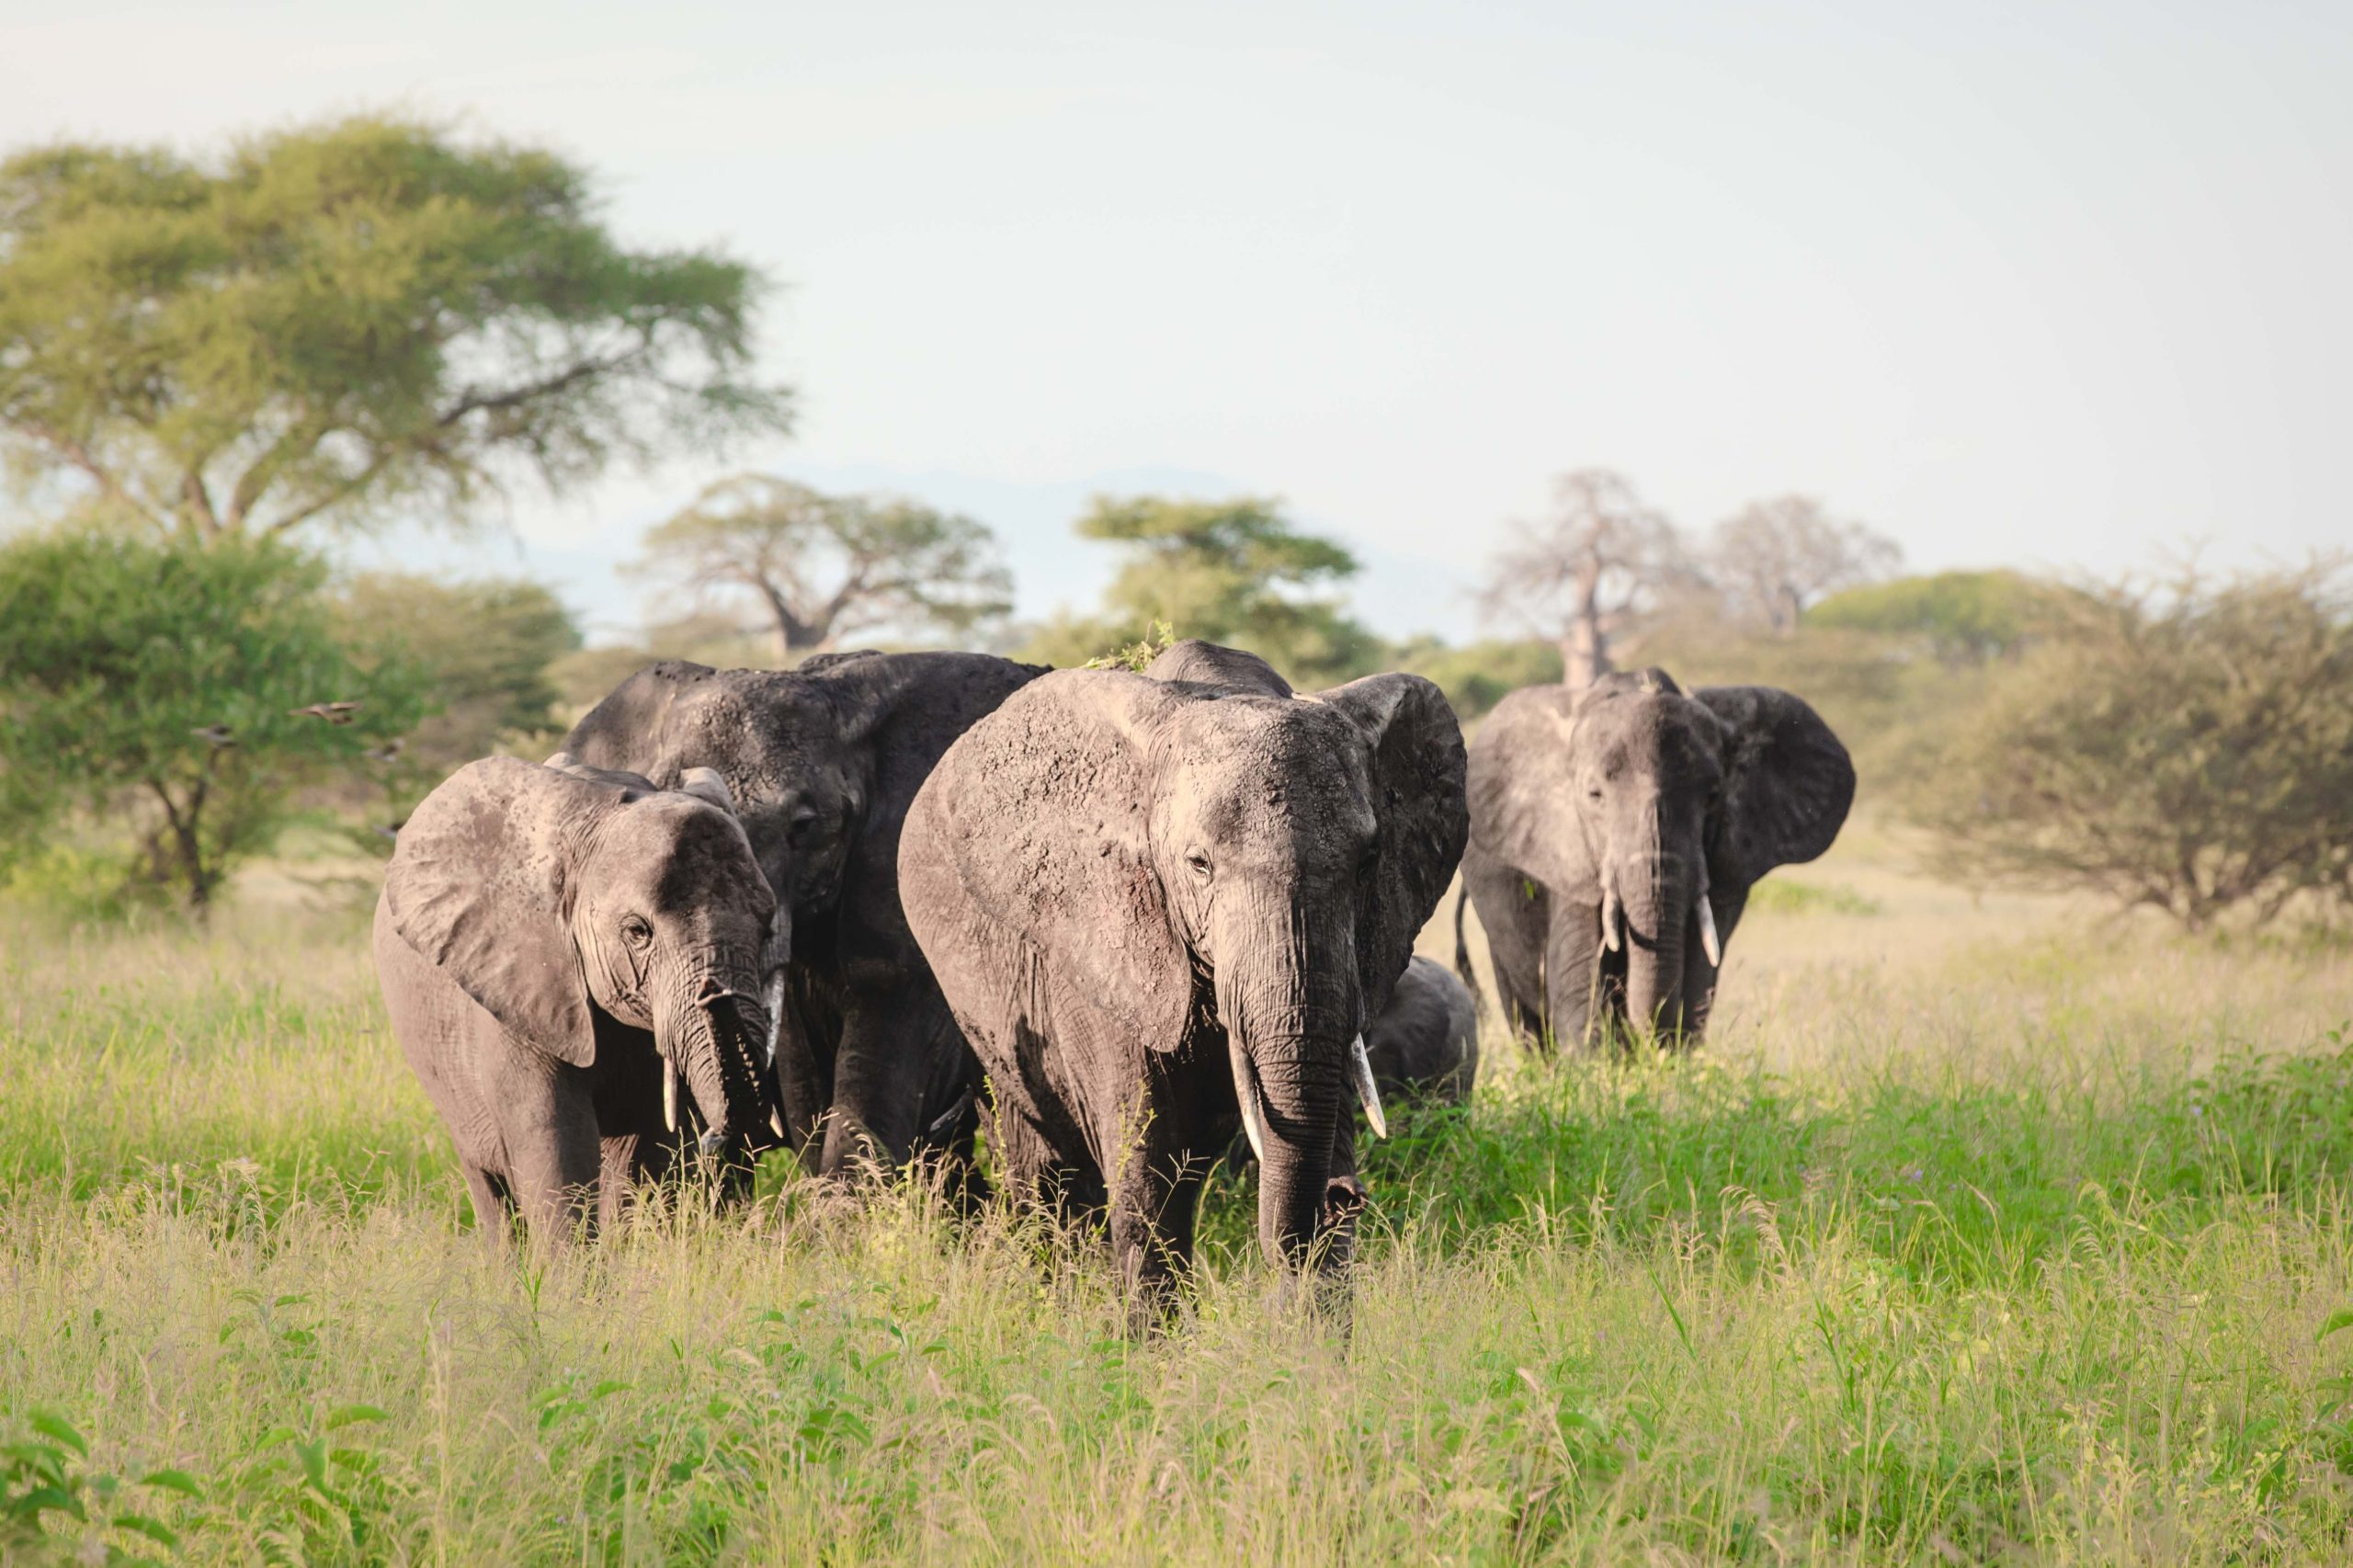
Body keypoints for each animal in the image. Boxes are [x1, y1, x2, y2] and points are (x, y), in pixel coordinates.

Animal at [374, 753, 780, 1243]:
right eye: (638, 932)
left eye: (767, 928)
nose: (713, 992)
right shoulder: (520, 988)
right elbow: (554, 1142)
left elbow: (639, 1152)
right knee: (488, 1182)